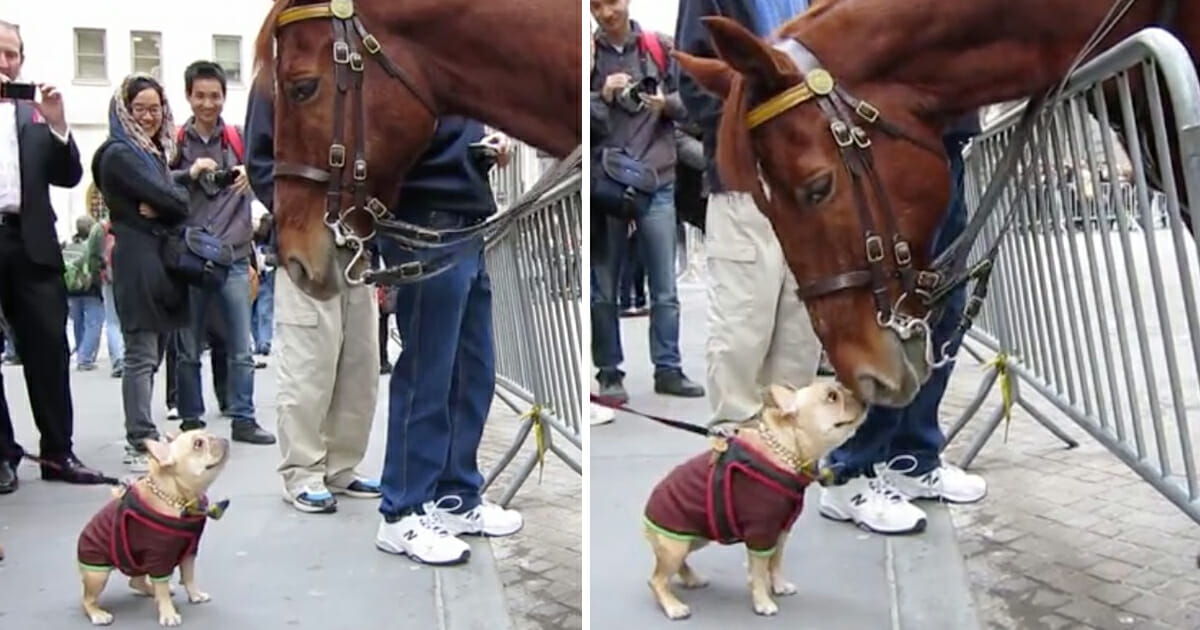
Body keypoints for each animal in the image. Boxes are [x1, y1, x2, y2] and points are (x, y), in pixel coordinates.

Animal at [75, 429, 231, 624]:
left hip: (136, 561)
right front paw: (168, 614)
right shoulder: (159, 558)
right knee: (87, 599)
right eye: (198, 444)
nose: (223, 439)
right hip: (97, 575)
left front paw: (195, 595)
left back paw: (151, 591)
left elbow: (188, 576)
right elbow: (162, 586)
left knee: (135, 582)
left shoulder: (189, 552)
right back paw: (97, 614)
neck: (177, 498)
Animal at [643, 379, 868, 619]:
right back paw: (673, 606)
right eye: (832, 397)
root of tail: (645, 516)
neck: (787, 448)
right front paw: (763, 602)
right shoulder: (760, 534)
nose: (862, 396)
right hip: (674, 547)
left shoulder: (780, 531)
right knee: (657, 579)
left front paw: (779, 585)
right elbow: (758, 572)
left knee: (679, 564)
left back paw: (693, 579)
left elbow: (776, 562)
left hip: (694, 538)